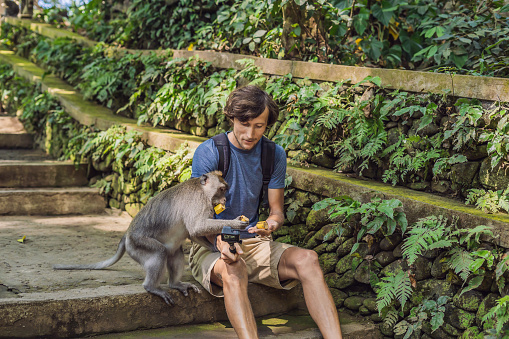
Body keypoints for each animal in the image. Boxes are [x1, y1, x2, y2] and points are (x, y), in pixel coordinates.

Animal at [54, 171, 248, 306]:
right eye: (221, 189)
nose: (224, 199)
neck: (201, 188)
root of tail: (127, 234)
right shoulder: (199, 201)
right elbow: (196, 226)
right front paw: (235, 223)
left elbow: (192, 233)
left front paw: (215, 247)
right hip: (137, 245)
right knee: (159, 252)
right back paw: (152, 287)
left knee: (175, 253)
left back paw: (175, 284)